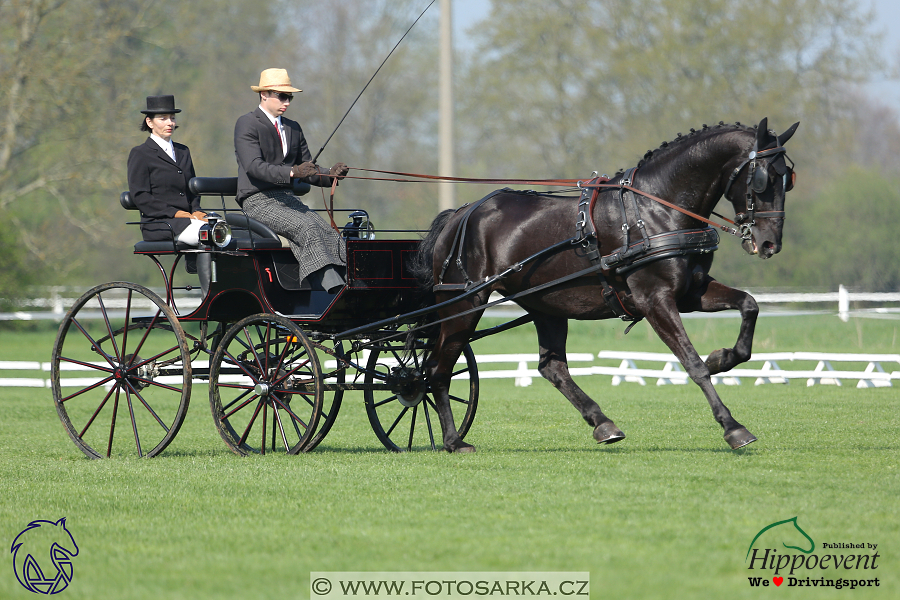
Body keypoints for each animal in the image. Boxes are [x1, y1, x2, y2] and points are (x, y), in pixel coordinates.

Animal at [414, 117, 800, 452]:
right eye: (764, 178)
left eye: (788, 180)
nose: (769, 243)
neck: (654, 211)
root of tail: (460, 214)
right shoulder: (655, 299)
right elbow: (692, 363)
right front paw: (732, 427)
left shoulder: (691, 291)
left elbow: (748, 305)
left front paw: (723, 358)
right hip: (464, 303)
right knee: (435, 369)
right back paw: (453, 440)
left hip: (545, 304)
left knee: (552, 368)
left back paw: (603, 423)